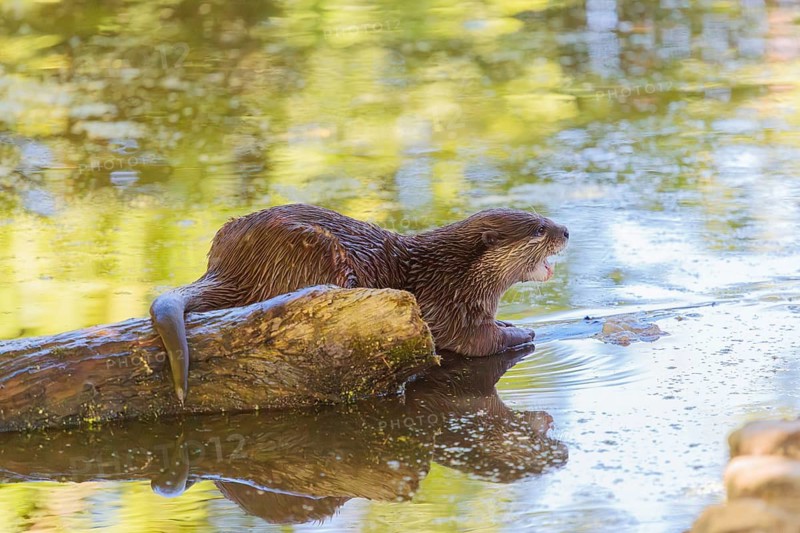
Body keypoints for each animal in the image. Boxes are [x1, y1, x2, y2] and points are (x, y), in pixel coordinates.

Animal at [151, 204, 569, 402]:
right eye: (538, 229)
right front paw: (521, 331)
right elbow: (478, 342)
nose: (565, 230)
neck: (452, 274)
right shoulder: (447, 309)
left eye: (545, 219)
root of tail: (230, 265)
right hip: (314, 251)